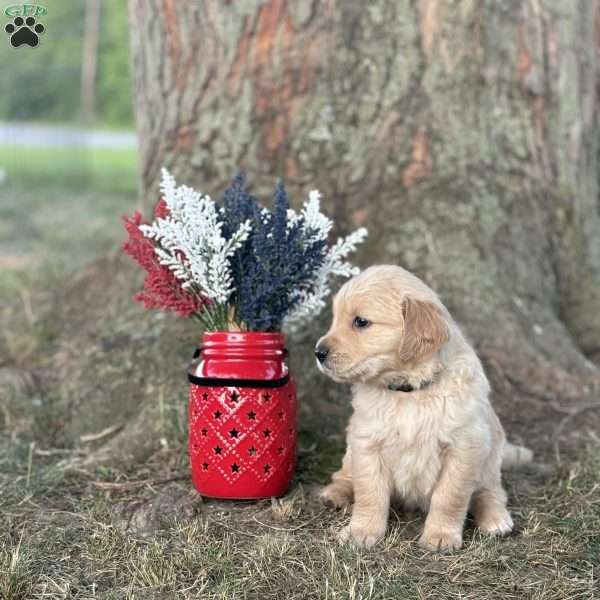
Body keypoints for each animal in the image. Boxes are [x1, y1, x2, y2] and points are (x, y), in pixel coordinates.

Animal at [316, 264, 532, 552]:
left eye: (360, 322)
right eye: (335, 318)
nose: (318, 352)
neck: (409, 391)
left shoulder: (464, 447)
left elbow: (450, 497)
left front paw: (441, 535)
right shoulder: (367, 443)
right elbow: (369, 493)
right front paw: (361, 531)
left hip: (490, 452)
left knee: (491, 491)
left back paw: (496, 519)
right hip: (351, 449)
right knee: (345, 475)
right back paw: (335, 494)